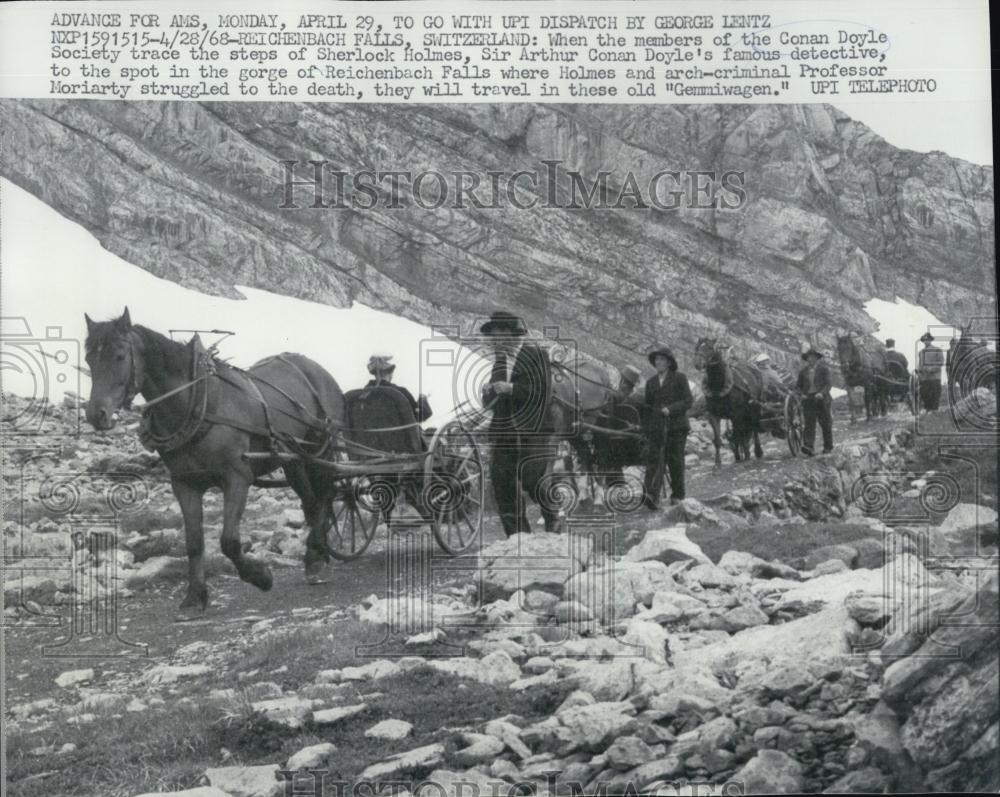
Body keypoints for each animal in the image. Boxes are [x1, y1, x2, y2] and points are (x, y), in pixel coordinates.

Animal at [83, 308, 348, 620]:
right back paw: (316, 556)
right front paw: (193, 598)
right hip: (293, 460)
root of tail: (317, 370)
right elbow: (194, 543)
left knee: (326, 495)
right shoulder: (184, 484)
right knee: (311, 502)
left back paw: (316, 559)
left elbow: (229, 541)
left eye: (120, 356)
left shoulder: (237, 478)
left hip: (322, 448)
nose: (96, 414)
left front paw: (260, 576)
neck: (199, 403)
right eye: (89, 358)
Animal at [692, 338, 760, 466]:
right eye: (697, 347)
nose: (697, 363)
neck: (718, 386)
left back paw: (757, 452)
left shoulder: (736, 414)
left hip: (754, 408)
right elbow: (718, 439)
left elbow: (740, 434)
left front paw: (746, 457)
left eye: (710, 348)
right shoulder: (713, 415)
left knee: (754, 428)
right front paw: (717, 463)